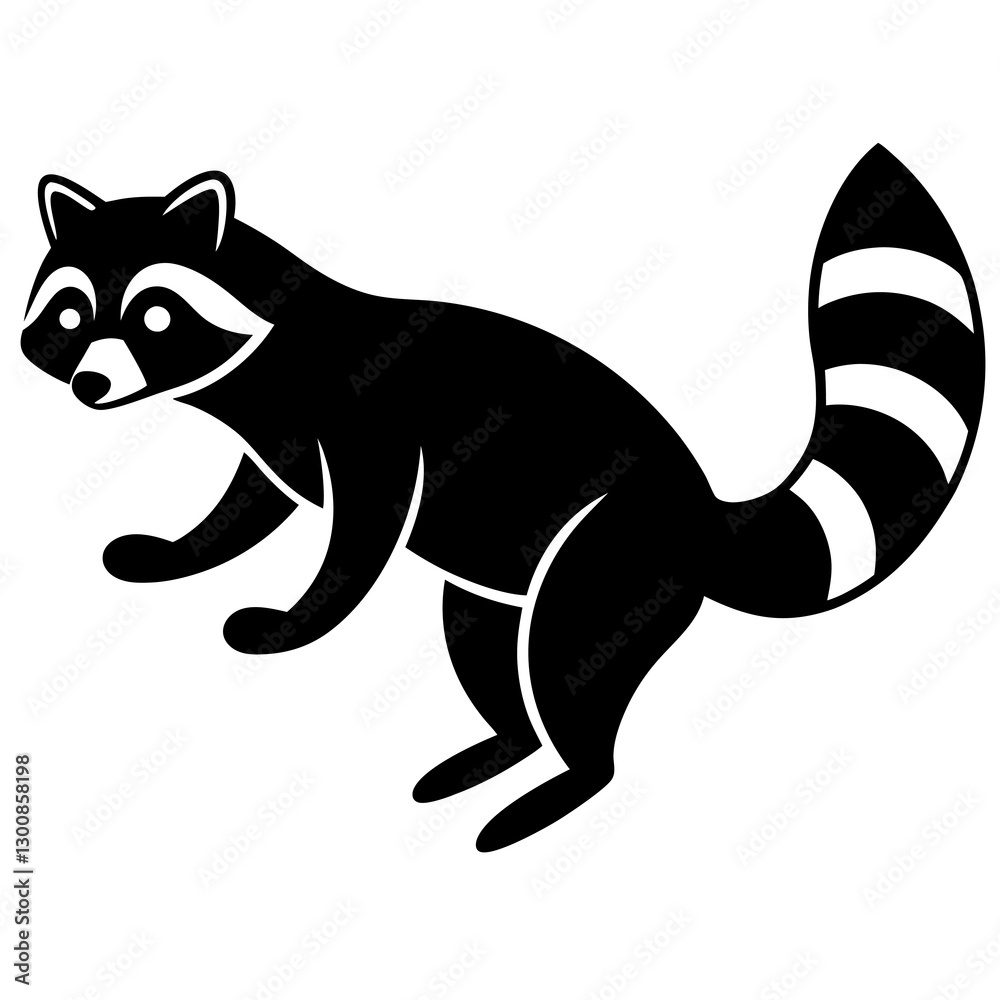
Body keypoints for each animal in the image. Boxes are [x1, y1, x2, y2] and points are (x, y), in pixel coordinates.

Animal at [21, 146, 984, 850]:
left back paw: (557, 787)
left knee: (566, 670)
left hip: (607, 554)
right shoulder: (278, 439)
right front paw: (181, 551)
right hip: (503, 583)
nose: (91, 384)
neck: (263, 356)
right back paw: (501, 748)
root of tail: (699, 512)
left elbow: (359, 536)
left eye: (152, 314)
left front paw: (301, 618)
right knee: (487, 650)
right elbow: (248, 506)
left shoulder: (364, 421)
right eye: (69, 315)